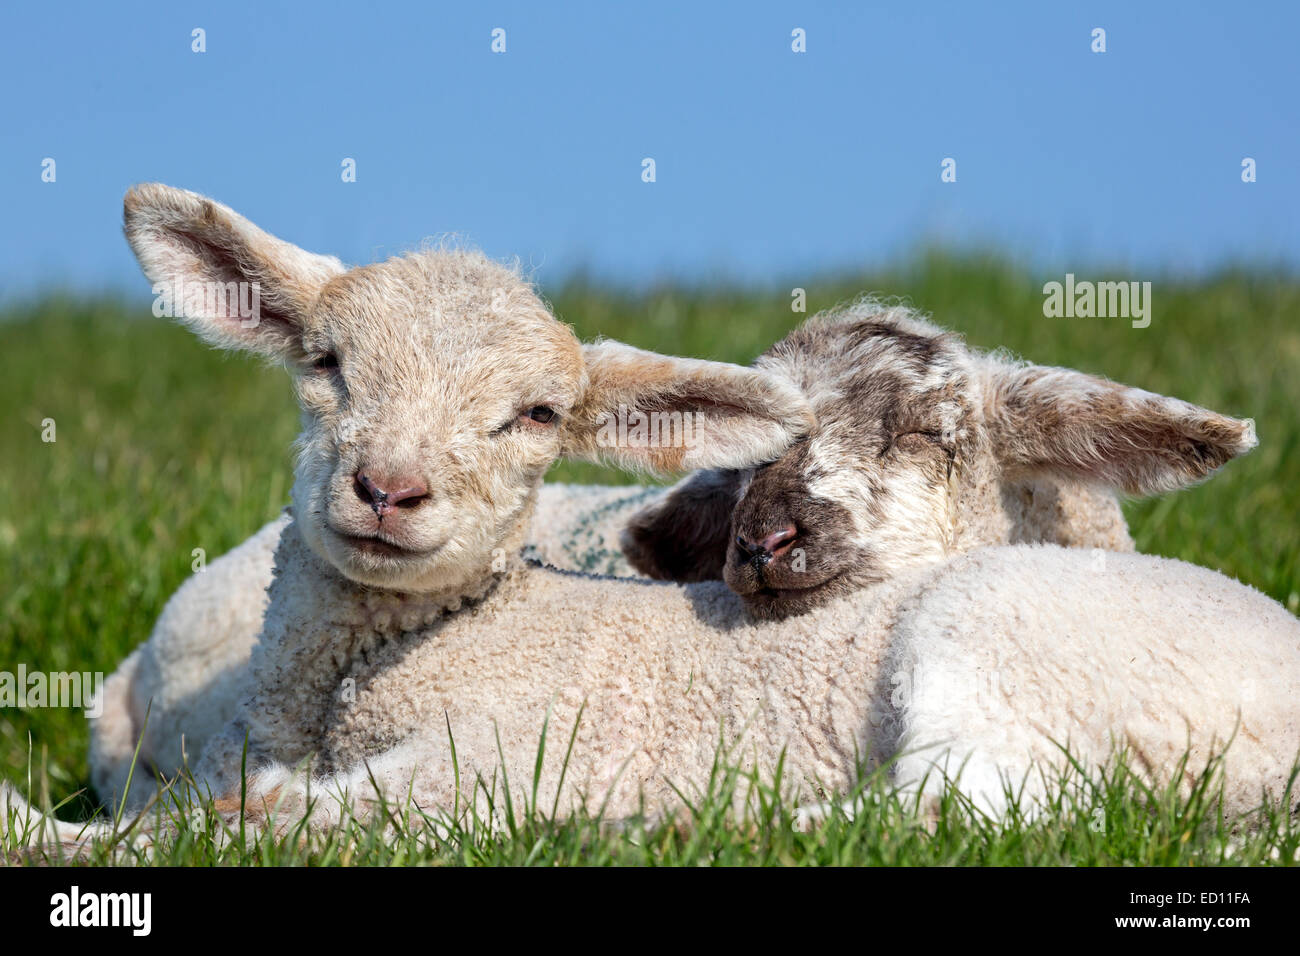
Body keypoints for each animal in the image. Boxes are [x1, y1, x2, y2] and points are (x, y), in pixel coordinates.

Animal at [7, 187, 1289, 853]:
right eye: (323, 363)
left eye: (533, 414)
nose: (388, 487)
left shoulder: (482, 759)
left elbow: (257, 824)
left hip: (993, 654)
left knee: (960, 807)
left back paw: (690, 822)